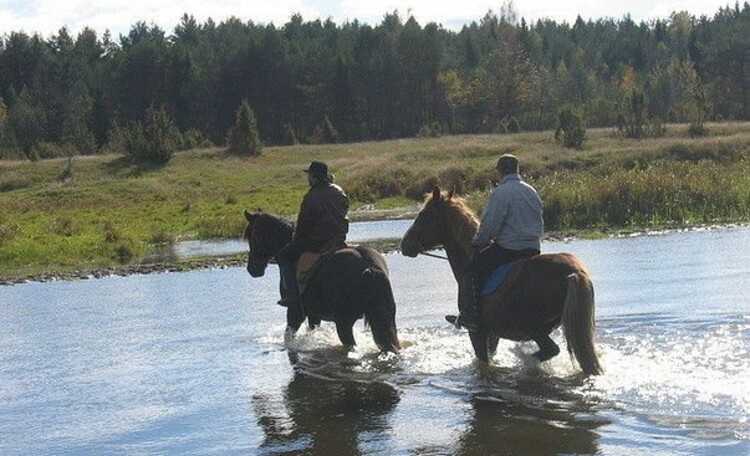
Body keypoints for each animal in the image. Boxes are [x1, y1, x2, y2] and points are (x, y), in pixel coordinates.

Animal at [244, 208, 402, 354]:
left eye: (253, 237)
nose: (252, 269)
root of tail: (369, 266)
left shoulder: (295, 311)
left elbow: (289, 337)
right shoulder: (314, 314)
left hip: (344, 323)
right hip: (386, 318)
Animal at [400, 185, 604, 374]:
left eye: (424, 215)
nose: (404, 244)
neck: (470, 255)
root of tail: (575, 272)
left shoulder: (477, 333)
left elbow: (483, 361)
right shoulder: (493, 334)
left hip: (532, 326)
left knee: (551, 350)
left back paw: (525, 360)